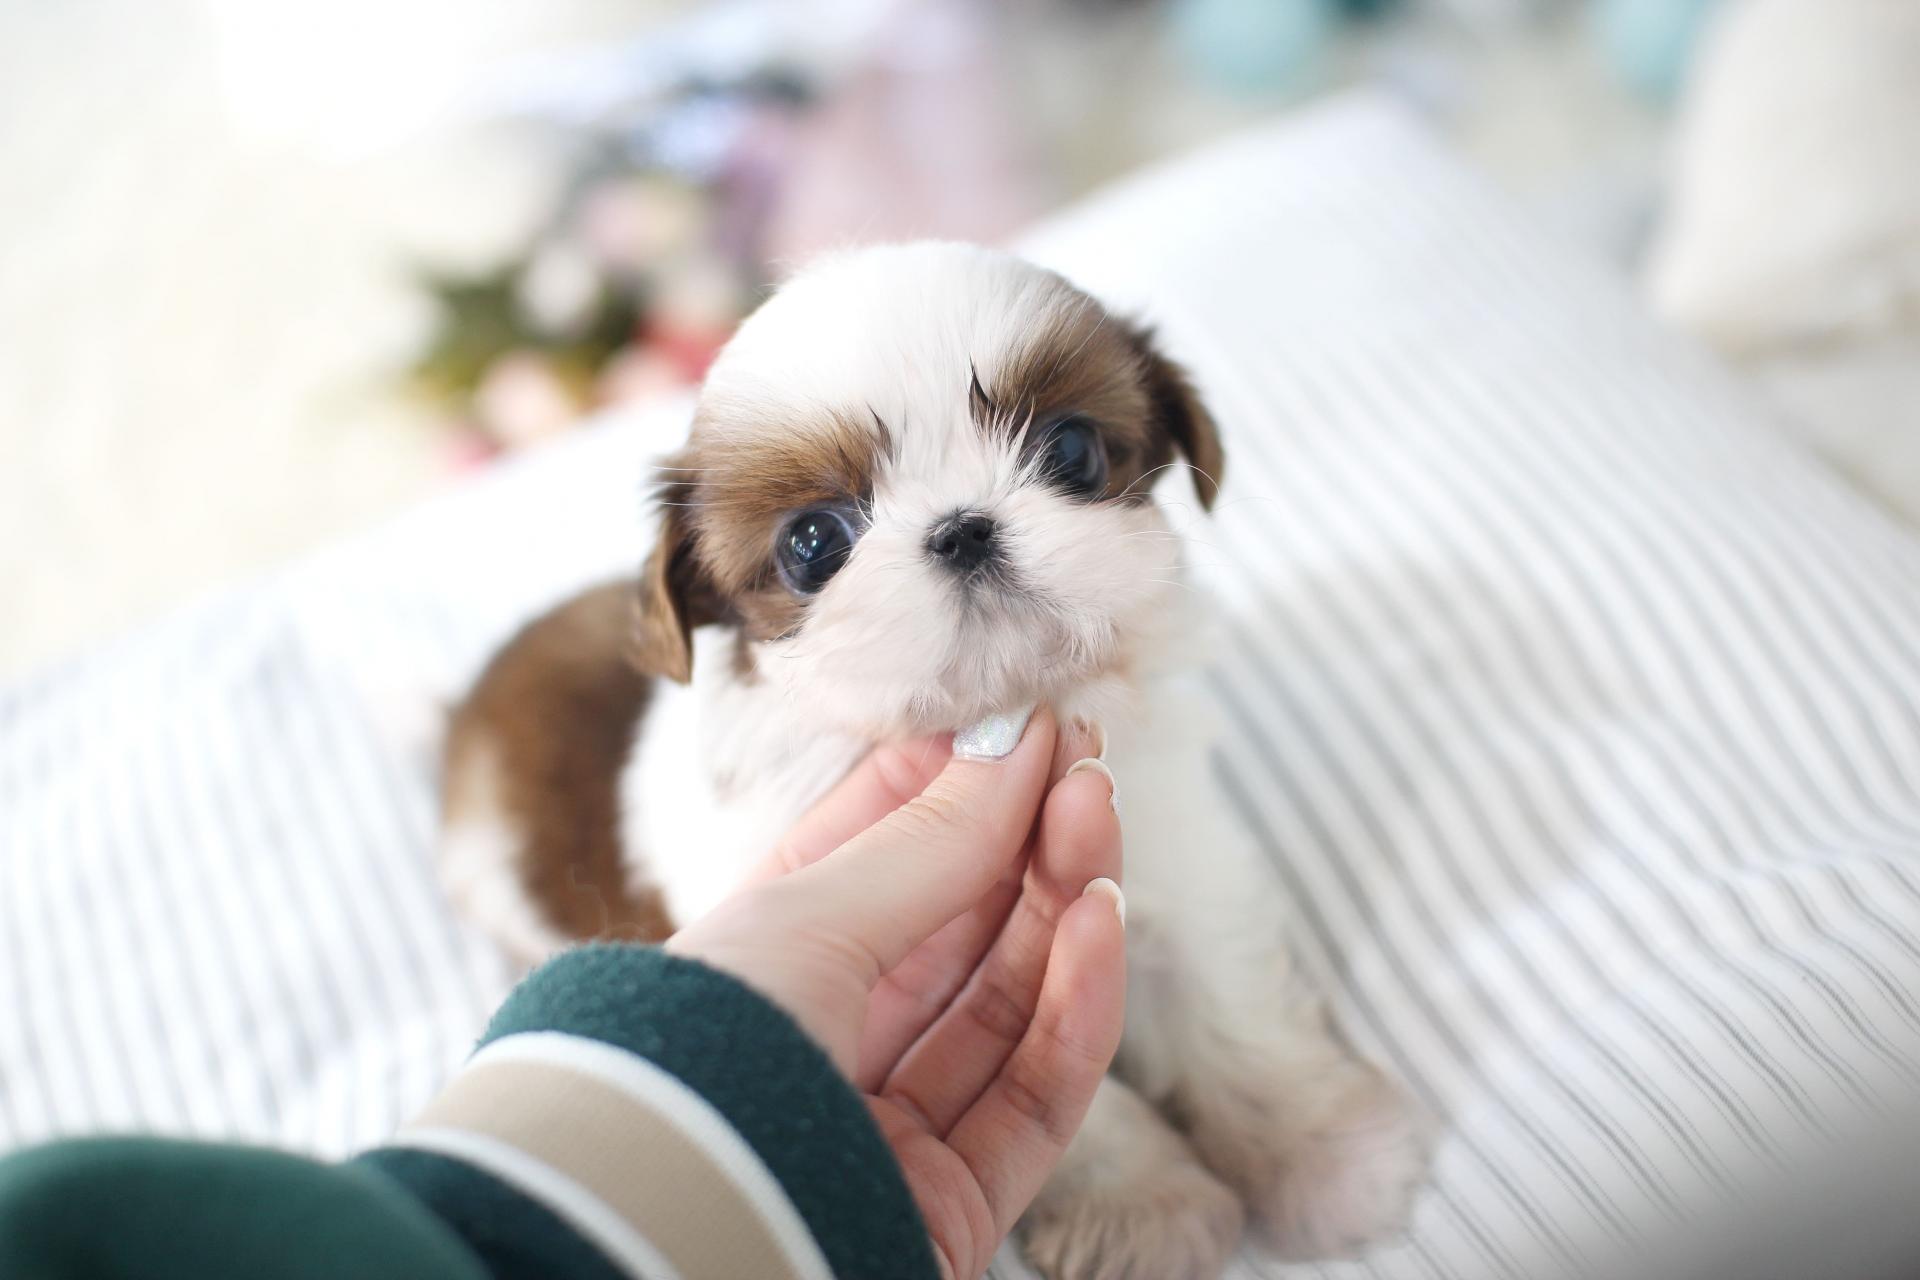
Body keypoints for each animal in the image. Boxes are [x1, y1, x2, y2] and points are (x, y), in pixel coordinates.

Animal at [441, 241, 1426, 1277]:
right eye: (813, 542)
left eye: (1072, 451)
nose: (962, 527)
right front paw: (1141, 1205)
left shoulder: (1177, 856)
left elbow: (1227, 998)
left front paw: (1322, 1149)